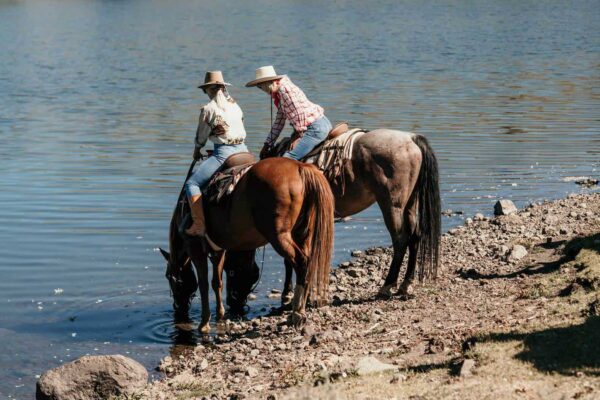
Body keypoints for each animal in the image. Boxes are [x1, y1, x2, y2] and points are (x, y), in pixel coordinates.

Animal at [159, 157, 336, 332]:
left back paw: (297, 313)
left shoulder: (195, 248)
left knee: (301, 262)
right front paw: (220, 315)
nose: (177, 309)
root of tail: (300, 167)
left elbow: (203, 284)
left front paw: (204, 323)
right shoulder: (219, 250)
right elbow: (217, 282)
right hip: (301, 234)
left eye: (169, 276)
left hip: (280, 237)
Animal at [225, 130, 440, 308]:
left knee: (401, 240)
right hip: (410, 204)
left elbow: (289, 259)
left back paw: (387, 286)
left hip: (392, 205)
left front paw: (287, 295)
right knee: (415, 236)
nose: (232, 303)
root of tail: (411, 139)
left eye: (231, 269)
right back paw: (405, 284)